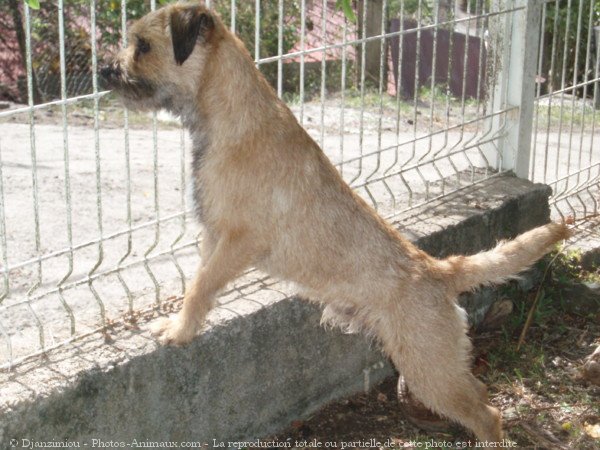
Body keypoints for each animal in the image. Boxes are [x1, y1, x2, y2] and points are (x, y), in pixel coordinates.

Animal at [101, 0, 568, 442]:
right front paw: (181, 324)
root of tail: (438, 270)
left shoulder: (237, 241)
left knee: (488, 414)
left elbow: (199, 288)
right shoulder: (214, 236)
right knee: (483, 398)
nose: (105, 71)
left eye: (142, 45)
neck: (231, 114)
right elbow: (197, 283)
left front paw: (180, 331)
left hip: (430, 369)